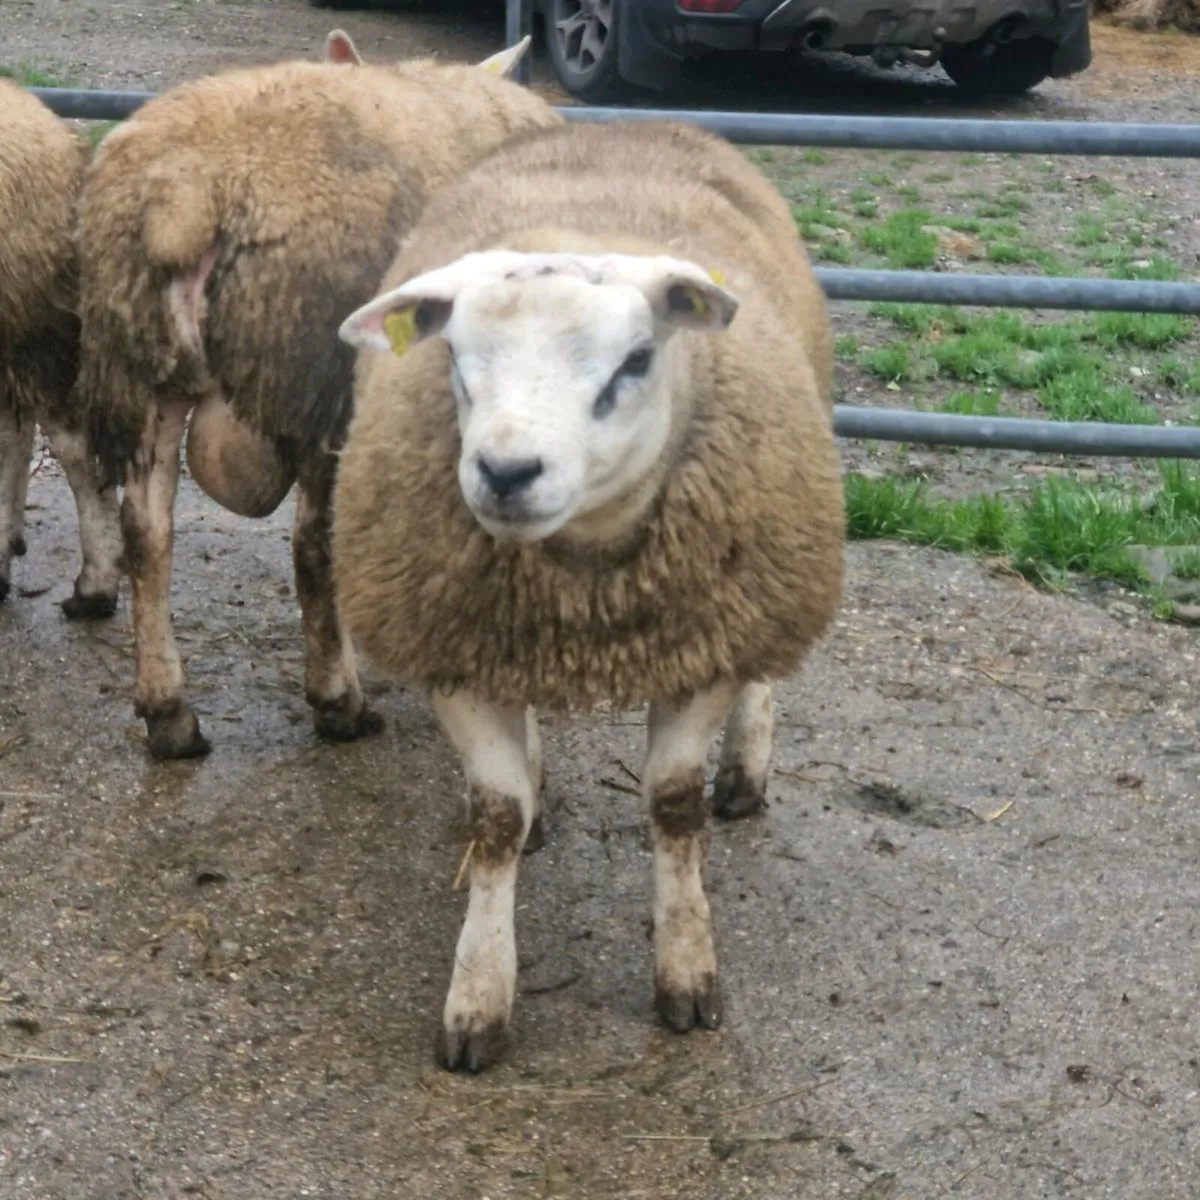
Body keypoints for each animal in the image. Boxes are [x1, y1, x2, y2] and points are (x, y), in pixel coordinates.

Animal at [74, 30, 562, 761]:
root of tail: (182, 199)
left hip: (144, 373)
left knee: (147, 534)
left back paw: (171, 716)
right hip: (325, 376)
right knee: (313, 546)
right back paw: (339, 702)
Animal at [332, 118, 846, 1072]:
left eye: (636, 361)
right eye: (457, 361)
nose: (505, 472)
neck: (584, 583)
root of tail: (618, 123)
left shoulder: (703, 643)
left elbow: (673, 805)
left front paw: (686, 973)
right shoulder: (457, 649)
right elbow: (494, 819)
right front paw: (478, 999)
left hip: (774, 553)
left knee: (765, 665)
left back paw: (746, 767)